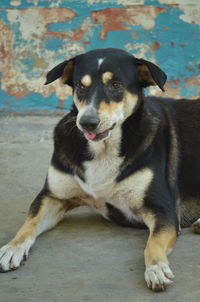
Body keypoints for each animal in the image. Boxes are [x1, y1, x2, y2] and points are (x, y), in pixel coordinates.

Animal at [0, 48, 200, 292]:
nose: (87, 122)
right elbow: (29, 222)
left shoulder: (163, 209)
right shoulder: (53, 196)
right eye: (80, 86)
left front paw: (156, 268)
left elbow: (152, 243)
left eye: (116, 85)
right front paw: (12, 247)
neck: (103, 148)